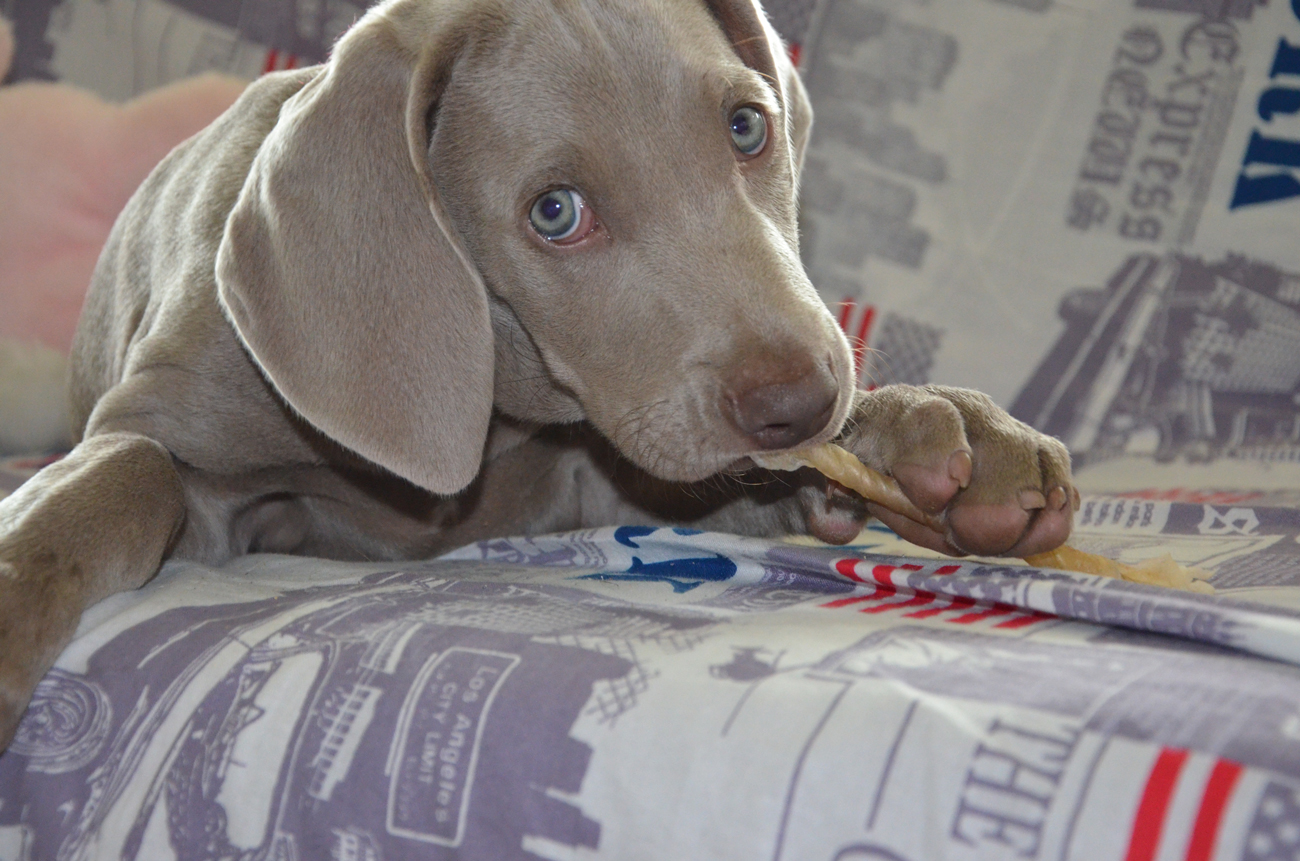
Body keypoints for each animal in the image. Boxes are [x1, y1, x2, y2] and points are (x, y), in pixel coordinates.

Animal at [0, 0, 1076, 749]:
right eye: (555, 212)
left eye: (747, 127)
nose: (804, 403)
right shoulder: (194, 462)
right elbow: (126, 468)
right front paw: (17, 588)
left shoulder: (610, 476)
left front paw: (947, 437)